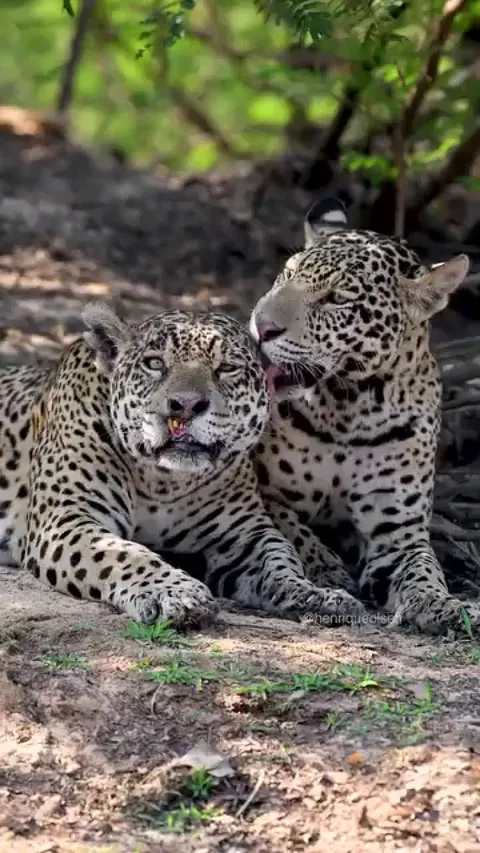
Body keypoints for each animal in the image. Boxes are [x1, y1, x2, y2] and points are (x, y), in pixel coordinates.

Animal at [0, 304, 365, 628]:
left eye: (227, 368)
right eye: (154, 363)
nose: (185, 406)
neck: (163, 481)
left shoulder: (244, 534)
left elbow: (281, 559)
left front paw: (312, 594)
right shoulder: (67, 518)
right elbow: (124, 554)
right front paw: (175, 593)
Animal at [249, 194, 480, 636]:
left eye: (338, 299)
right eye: (287, 274)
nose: (261, 326)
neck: (349, 410)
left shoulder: (398, 533)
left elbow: (423, 571)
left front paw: (444, 605)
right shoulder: (263, 491)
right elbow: (294, 528)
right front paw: (326, 571)